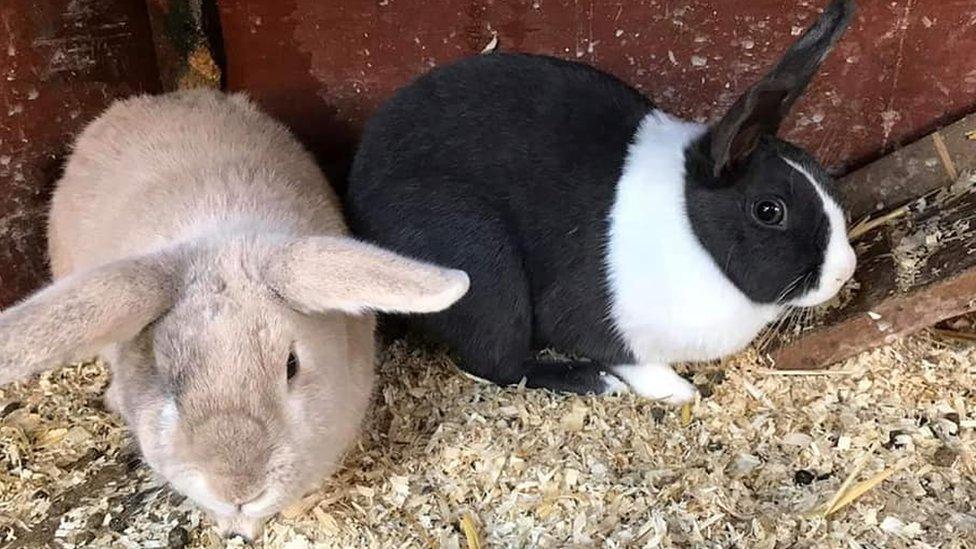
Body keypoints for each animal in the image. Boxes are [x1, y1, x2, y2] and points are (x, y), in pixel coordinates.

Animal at [344, 0, 856, 402]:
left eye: (814, 165)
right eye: (769, 210)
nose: (844, 271)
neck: (693, 233)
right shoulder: (597, 322)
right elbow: (627, 357)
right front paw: (678, 391)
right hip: (481, 266)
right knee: (497, 362)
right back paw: (593, 381)